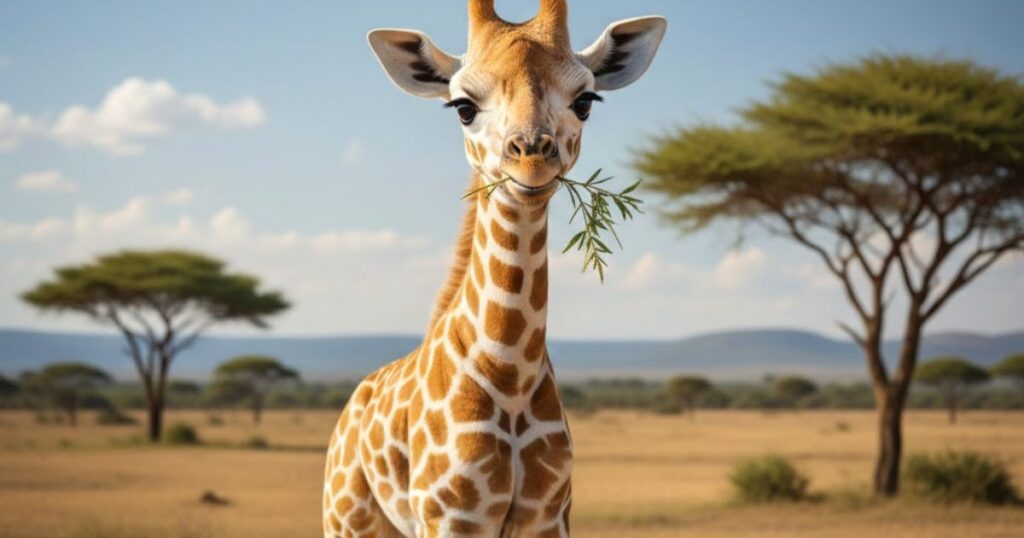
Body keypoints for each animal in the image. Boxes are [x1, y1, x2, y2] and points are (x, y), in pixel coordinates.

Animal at [323, 2, 666, 536]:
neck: (509, 374)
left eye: (585, 100)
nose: (531, 159)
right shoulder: (451, 518)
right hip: (346, 517)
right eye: (463, 106)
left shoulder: (550, 515)